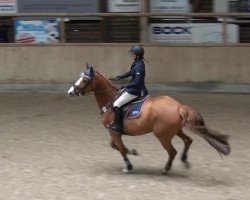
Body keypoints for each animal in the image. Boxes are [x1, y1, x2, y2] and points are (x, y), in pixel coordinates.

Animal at [67, 64, 230, 173]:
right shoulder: (116, 132)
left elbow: (120, 149)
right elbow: (116, 146)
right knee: (188, 140)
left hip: (162, 135)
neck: (110, 100)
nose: (70, 92)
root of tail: (179, 106)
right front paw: (133, 151)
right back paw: (184, 160)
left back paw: (166, 168)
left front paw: (128, 166)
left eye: (85, 80)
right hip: (175, 131)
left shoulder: (113, 131)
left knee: (172, 151)